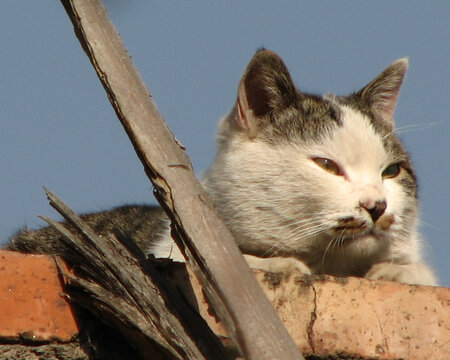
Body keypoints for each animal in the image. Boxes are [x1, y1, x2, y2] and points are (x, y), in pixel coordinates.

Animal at [7, 50, 436, 286]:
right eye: (327, 165)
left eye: (391, 171)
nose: (377, 205)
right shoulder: (171, 252)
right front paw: (282, 263)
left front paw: (400, 272)